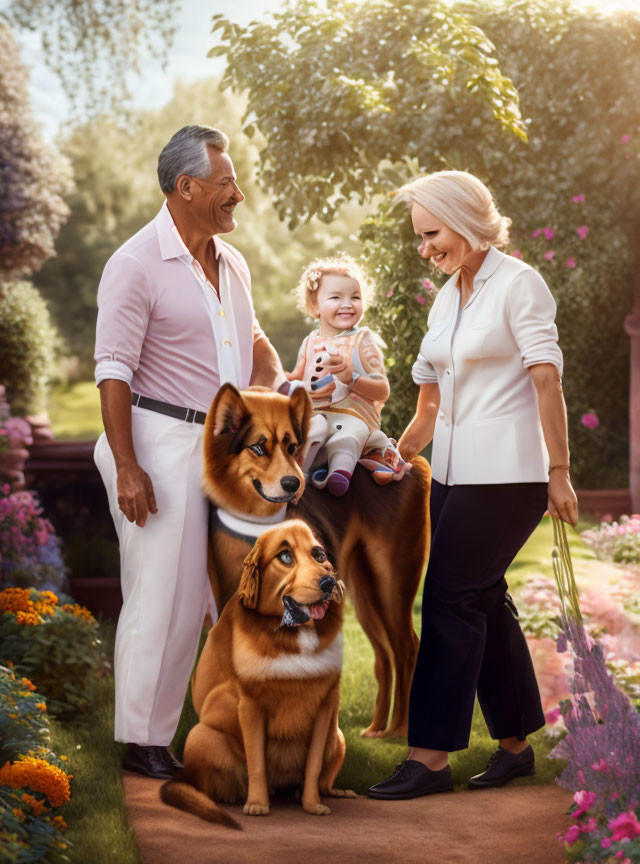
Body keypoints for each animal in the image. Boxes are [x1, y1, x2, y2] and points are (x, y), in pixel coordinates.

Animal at [160, 516, 356, 828]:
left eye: (319, 555)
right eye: (285, 557)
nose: (328, 582)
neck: (293, 635)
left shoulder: (325, 707)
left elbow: (313, 766)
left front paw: (313, 805)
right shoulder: (250, 707)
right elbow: (256, 763)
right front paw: (257, 804)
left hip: (338, 737)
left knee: (322, 777)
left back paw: (334, 792)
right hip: (201, 736)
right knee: (211, 783)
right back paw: (232, 797)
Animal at [201, 384, 430, 736]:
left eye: (292, 447)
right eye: (258, 448)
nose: (295, 484)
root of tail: (409, 460)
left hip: (392, 581)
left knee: (407, 647)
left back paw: (399, 730)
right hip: (365, 591)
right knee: (383, 657)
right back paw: (377, 728)